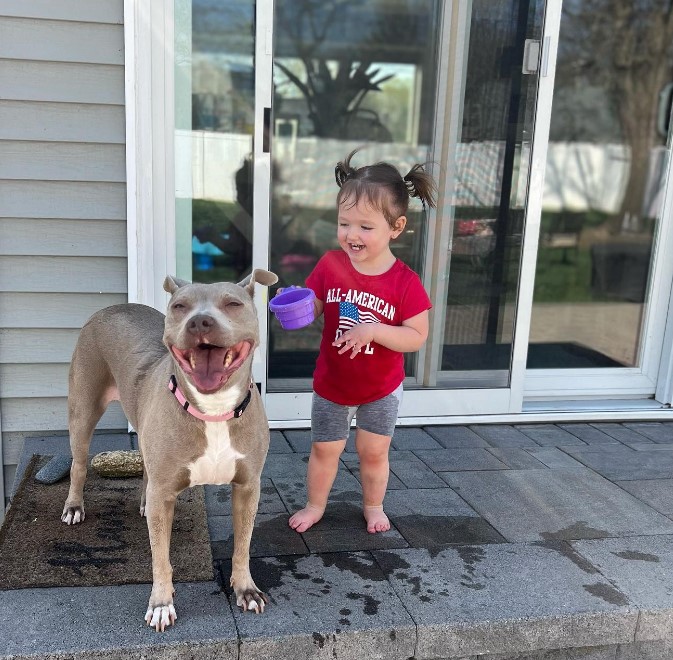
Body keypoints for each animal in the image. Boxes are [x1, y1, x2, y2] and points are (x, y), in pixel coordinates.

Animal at [59, 268, 276, 628]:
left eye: (233, 303)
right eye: (179, 306)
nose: (200, 321)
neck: (213, 410)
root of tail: (111, 308)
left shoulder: (248, 487)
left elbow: (243, 545)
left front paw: (246, 588)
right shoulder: (166, 496)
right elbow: (160, 556)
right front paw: (161, 603)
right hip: (82, 411)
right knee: (78, 464)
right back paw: (75, 506)